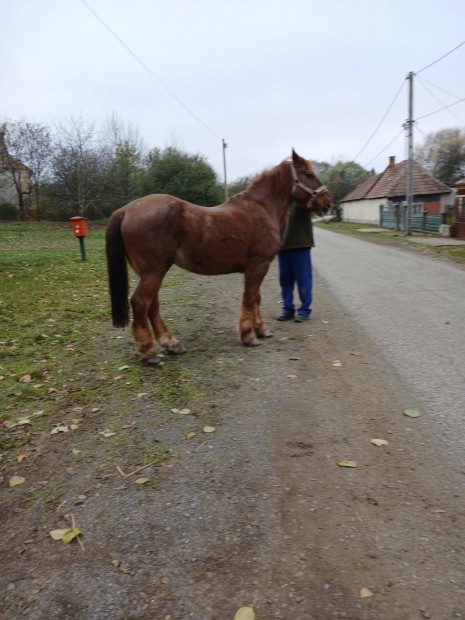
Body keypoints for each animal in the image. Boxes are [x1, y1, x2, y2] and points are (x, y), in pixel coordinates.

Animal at [106, 151, 330, 364]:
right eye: (309, 174)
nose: (326, 202)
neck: (262, 209)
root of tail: (126, 209)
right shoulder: (258, 265)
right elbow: (250, 298)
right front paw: (249, 336)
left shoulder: (258, 266)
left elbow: (256, 298)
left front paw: (261, 330)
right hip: (154, 272)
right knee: (140, 303)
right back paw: (148, 352)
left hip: (151, 273)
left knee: (152, 304)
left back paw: (171, 344)